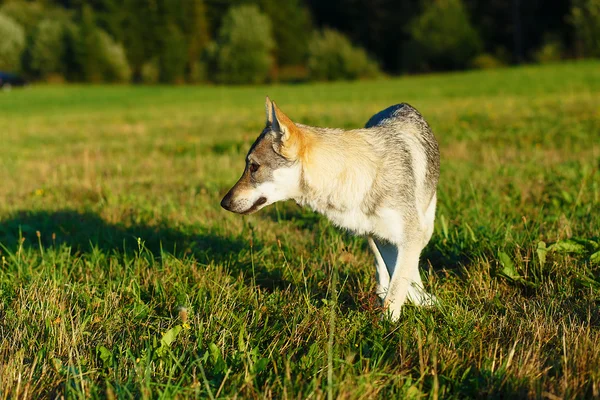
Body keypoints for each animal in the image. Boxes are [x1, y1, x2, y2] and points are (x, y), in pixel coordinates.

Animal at [221, 98, 440, 320]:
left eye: (254, 167)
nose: (224, 202)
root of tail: (400, 104)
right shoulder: (384, 240)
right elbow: (397, 276)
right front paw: (408, 305)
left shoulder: (409, 237)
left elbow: (400, 281)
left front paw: (394, 319)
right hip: (372, 236)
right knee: (383, 269)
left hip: (424, 229)